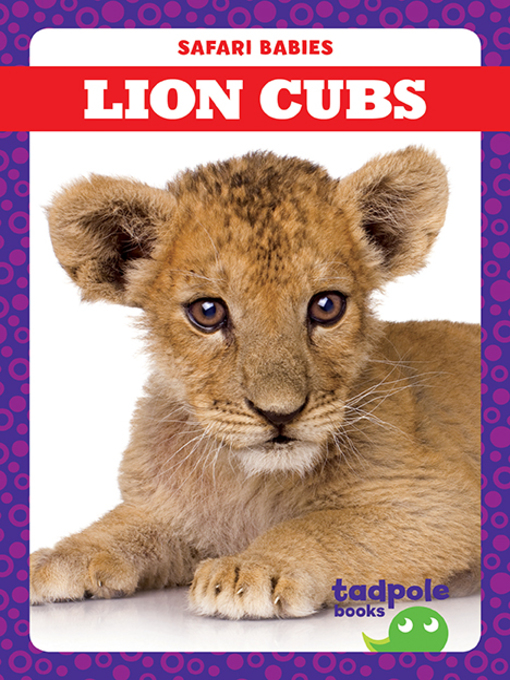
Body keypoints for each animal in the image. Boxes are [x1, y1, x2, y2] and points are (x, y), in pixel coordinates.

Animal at [30, 146, 480, 619]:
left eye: (327, 306)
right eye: (207, 311)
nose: (279, 413)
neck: (250, 481)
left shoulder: (442, 501)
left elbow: (322, 525)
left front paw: (254, 567)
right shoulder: (168, 509)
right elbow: (125, 522)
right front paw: (61, 556)